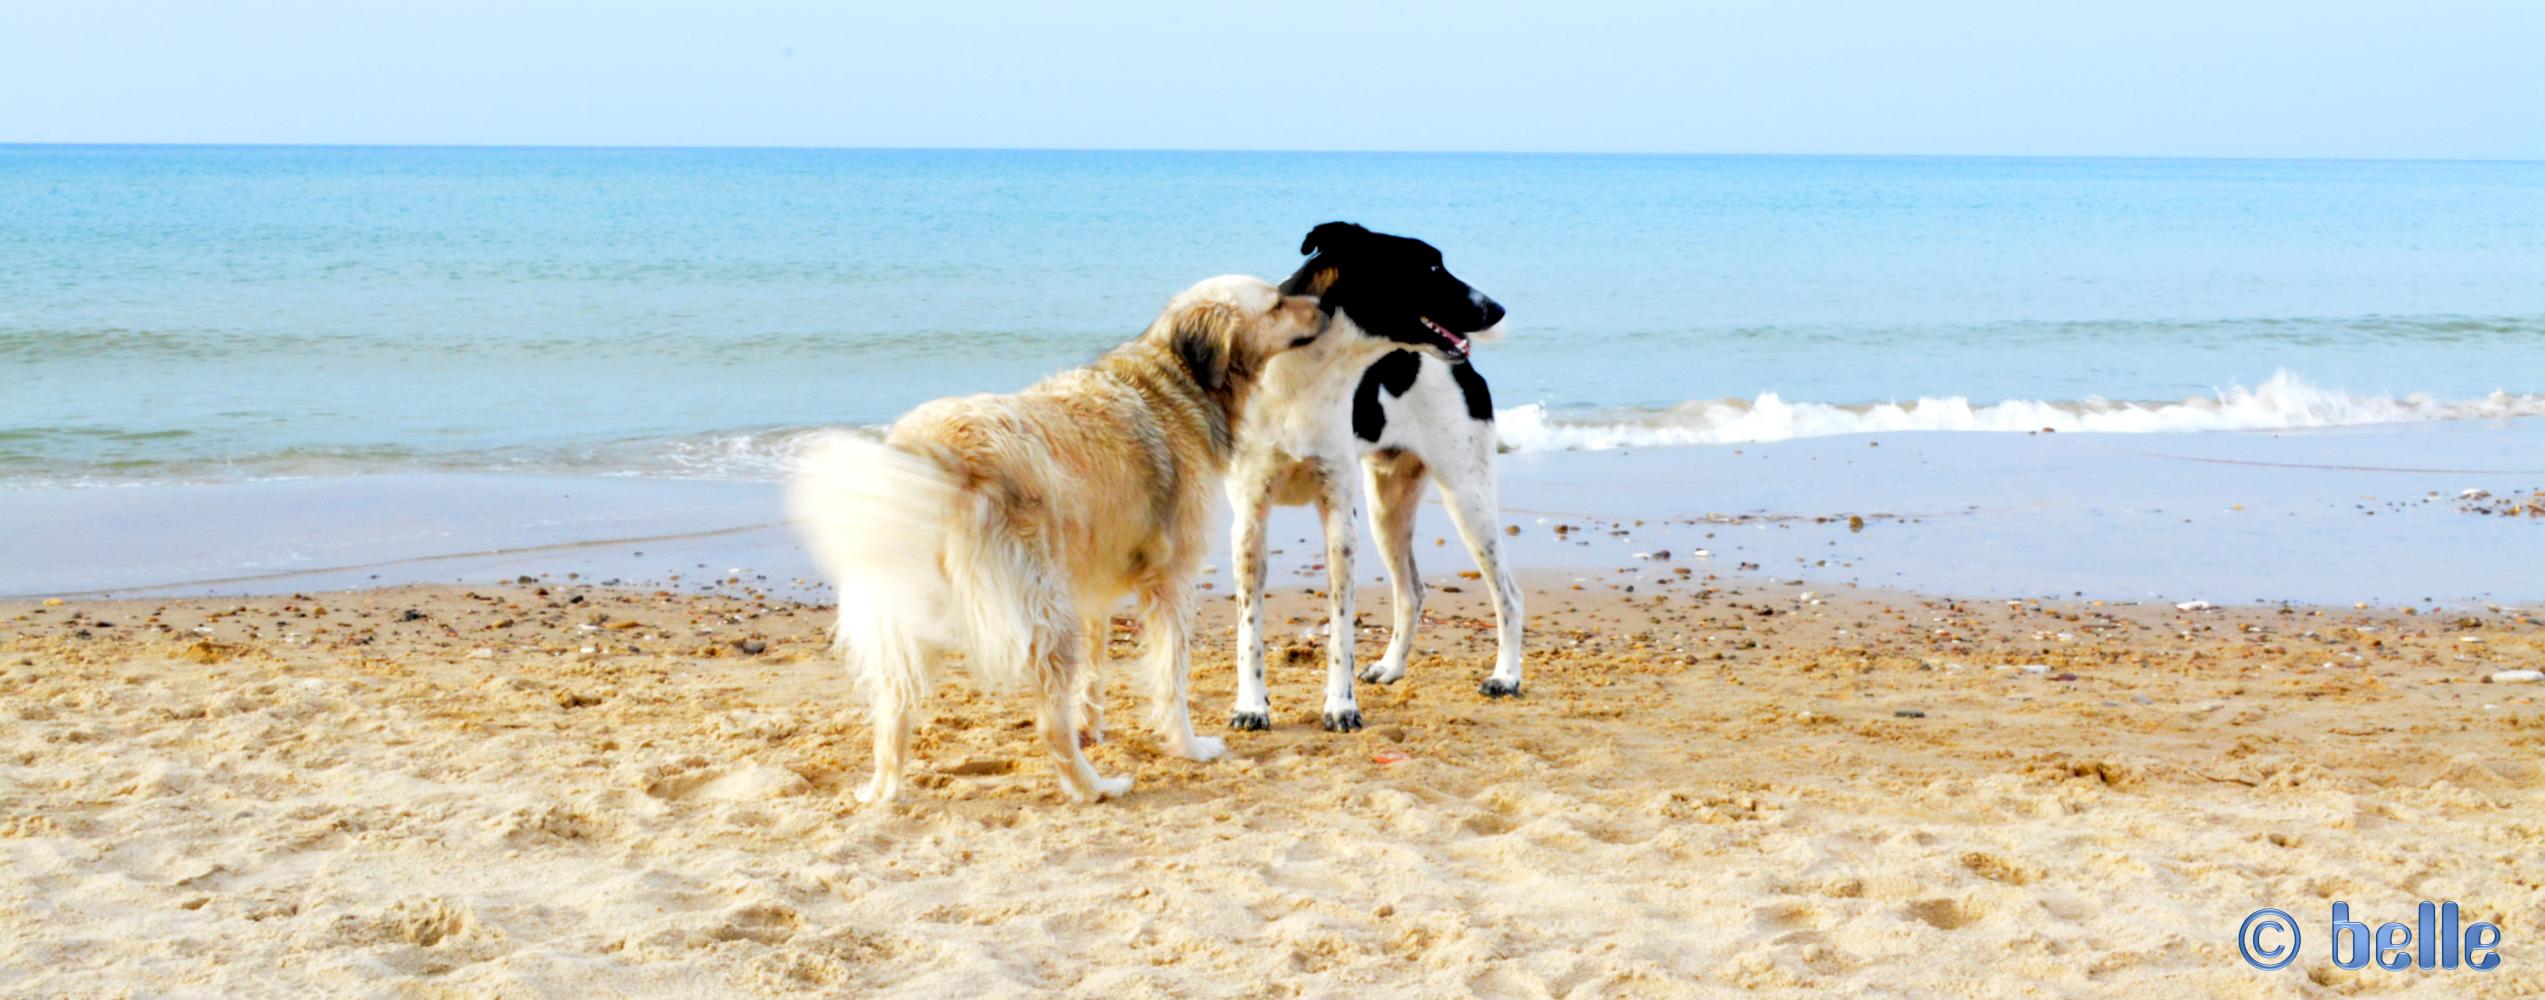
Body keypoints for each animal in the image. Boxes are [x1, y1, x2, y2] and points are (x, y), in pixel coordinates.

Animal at [794, 274, 1394, 804]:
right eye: (1276, 303)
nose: (1326, 306)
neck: (1174, 380)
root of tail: (930, 451)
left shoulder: (1090, 588)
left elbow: (1095, 671)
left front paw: (1094, 726)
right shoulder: (1171, 582)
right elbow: (1170, 680)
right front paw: (1188, 746)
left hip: (914, 612)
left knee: (893, 710)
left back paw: (883, 789)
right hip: (1040, 613)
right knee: (1046, 724)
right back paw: (1093, 787)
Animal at [1221, 222, 1516, 727]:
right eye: (1431, 266)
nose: (1496, 308)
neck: (1305, 376)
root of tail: (1467, 369)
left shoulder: (1339, 518)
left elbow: (1341, 630)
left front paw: (1341, 705)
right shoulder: (1249, 521)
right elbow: (1249, 631)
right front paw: (1251, 705)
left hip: (1467, 498)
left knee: (1507, 595)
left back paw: (1507, 676)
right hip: (1387, 510)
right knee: (1412, 592)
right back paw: (1393, 667)